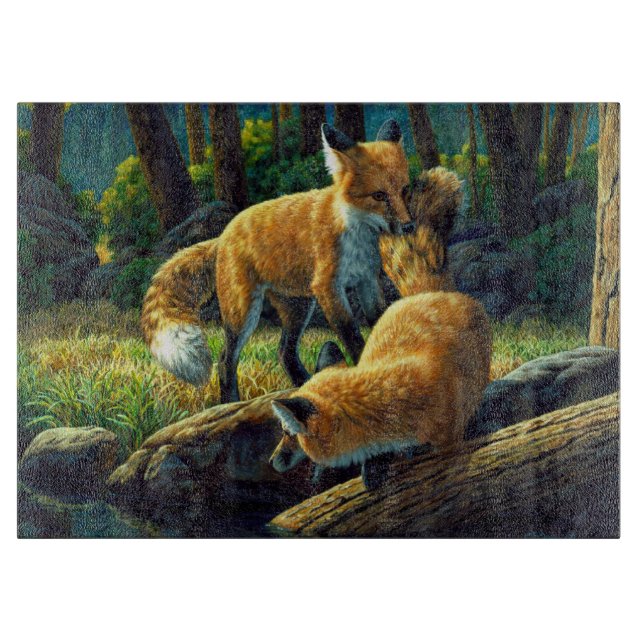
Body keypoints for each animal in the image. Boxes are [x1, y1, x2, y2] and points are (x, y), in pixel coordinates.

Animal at [141, 119, 413, 403]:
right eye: (379, 196)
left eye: (405, 190)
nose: (409, 226)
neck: (356, 234)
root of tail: (223, 235)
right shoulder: (328, 287)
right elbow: (352, 336)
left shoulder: (367, 281)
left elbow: (380, 319)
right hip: (244, 312)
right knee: (226, 360)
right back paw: (232, 401)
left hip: (299, 307)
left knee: (284, 353)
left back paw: (302, 388)